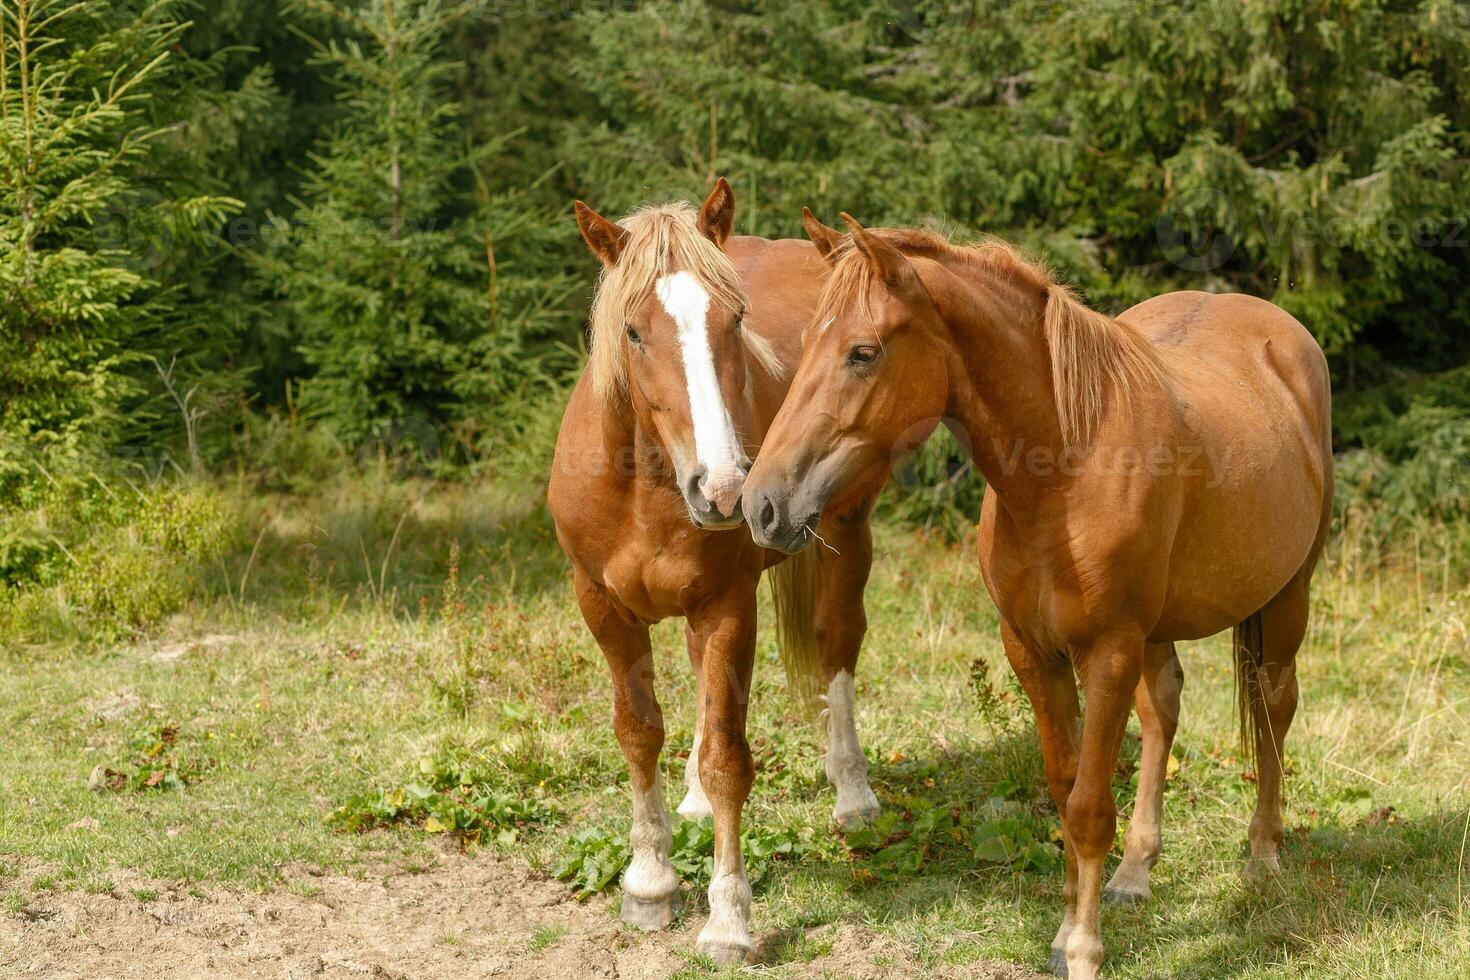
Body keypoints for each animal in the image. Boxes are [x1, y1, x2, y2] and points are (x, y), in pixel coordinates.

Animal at [546, 179, 876, 963]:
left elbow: (730, 756)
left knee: (837, 643)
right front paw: (649, 882)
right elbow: (639, 732)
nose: (724, 489)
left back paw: (852, 794)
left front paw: (728, 919)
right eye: (633, 332)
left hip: (846, 533)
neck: (643, 490)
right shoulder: (601, 606)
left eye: (736, 319)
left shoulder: (726, 602)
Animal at [746, 214, 1334, 980]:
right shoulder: (1033, 652)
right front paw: (1067, 928)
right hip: (1156, 634)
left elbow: (1087, 807)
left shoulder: (1107, 651)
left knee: (1272, 703)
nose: (762, 505)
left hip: (1288, 595)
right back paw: (1135, 873)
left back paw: (1263, 853)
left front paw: (1082, 949)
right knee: (1164, 709)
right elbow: (1065, 785)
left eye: (862, 353)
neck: (1066, 470)